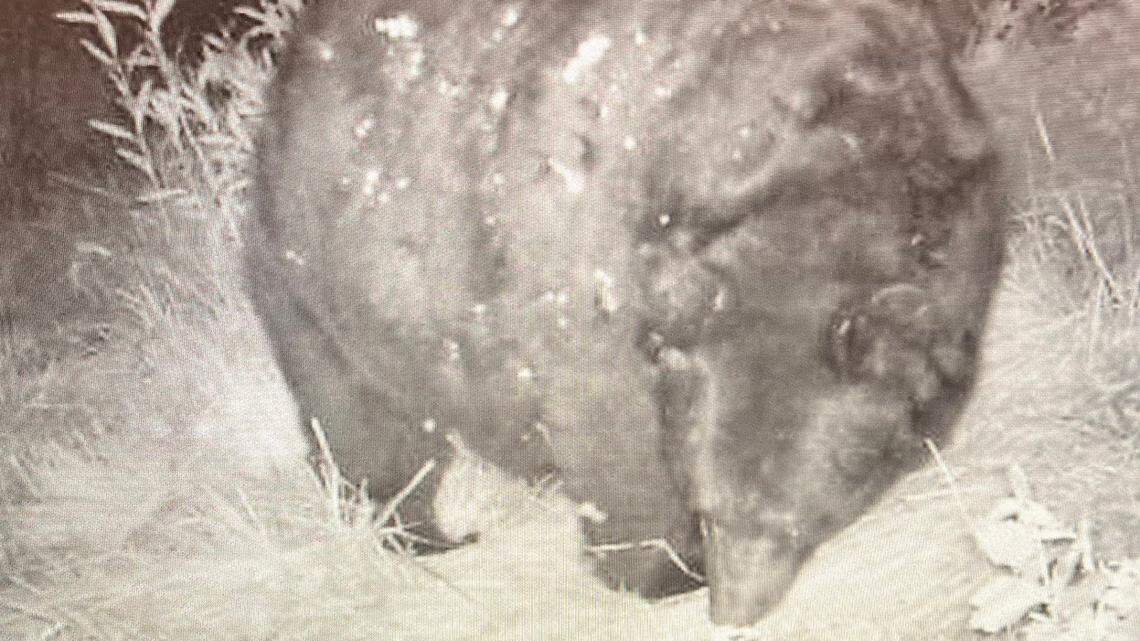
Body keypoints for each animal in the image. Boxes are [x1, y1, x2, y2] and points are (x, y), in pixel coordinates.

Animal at [245, 0, 1005, 627]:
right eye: (710, 509)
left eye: (785, 522)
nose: (731, 611)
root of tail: (294, 63)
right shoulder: (595, 268)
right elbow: (615, 435)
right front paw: (662, 571)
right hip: (326, 278)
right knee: (366, 423)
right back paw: (423, 532)